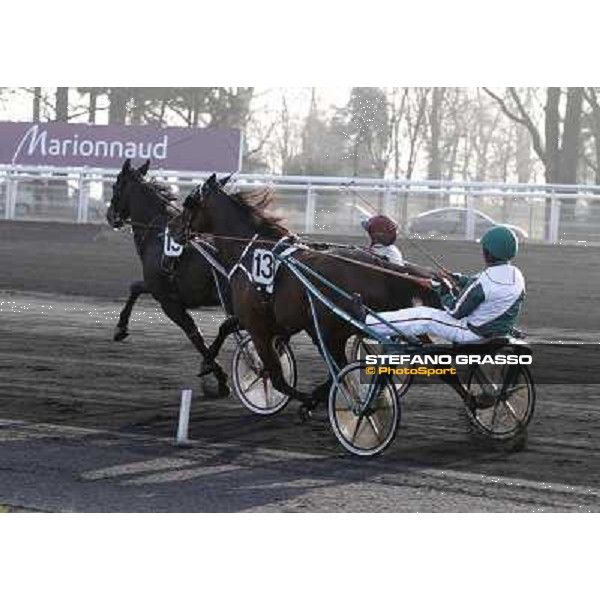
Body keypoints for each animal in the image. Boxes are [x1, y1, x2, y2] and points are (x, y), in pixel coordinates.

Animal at [169, 173, 460, 408]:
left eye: (189, 202)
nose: (172, 228)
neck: (251, 251)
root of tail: (382, 268)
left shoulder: (259, 327)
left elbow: (277, 378)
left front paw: (304, 400)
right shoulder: (271, 322)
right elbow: (226, 328)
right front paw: (208, 365)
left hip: (334, 333)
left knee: (345, 368)